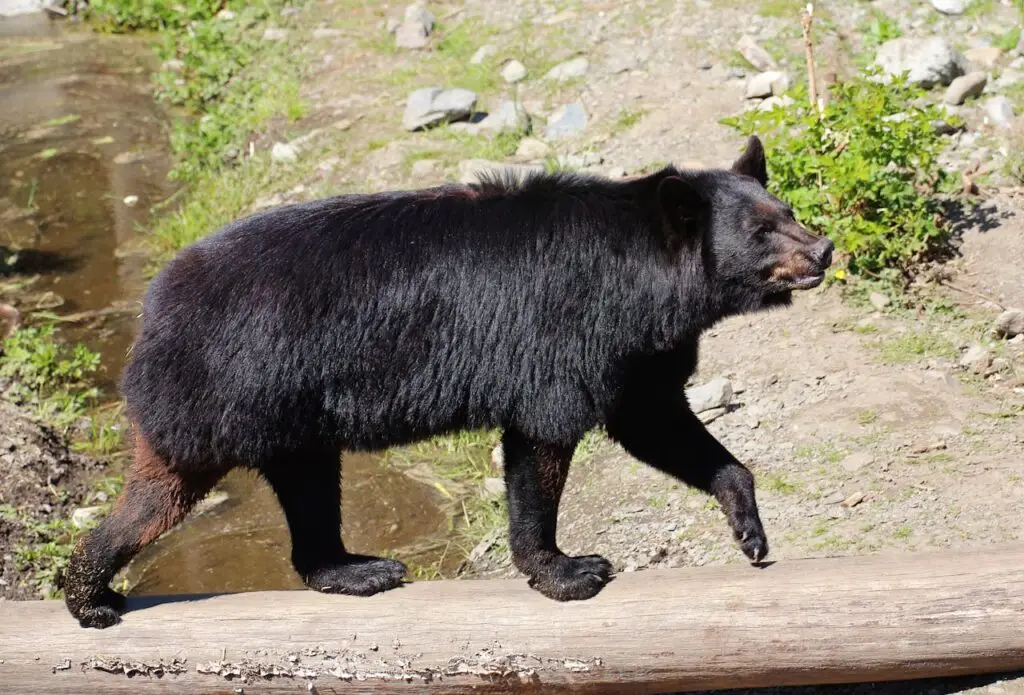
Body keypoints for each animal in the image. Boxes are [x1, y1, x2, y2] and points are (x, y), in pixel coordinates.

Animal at [62, 135, 833, 628]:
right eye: (762, 232)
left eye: (788, 211)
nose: (823, 248)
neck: (647, 283)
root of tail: (154, 306)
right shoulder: (568, 332)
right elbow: (543, 440)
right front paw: (568, 569)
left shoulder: (639, 351)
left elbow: (657, 422)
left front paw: (750, 528)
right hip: (228, 389)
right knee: (161, 495)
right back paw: (90, 595)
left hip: (289, 415)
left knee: (307, 486)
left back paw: (353, 568)